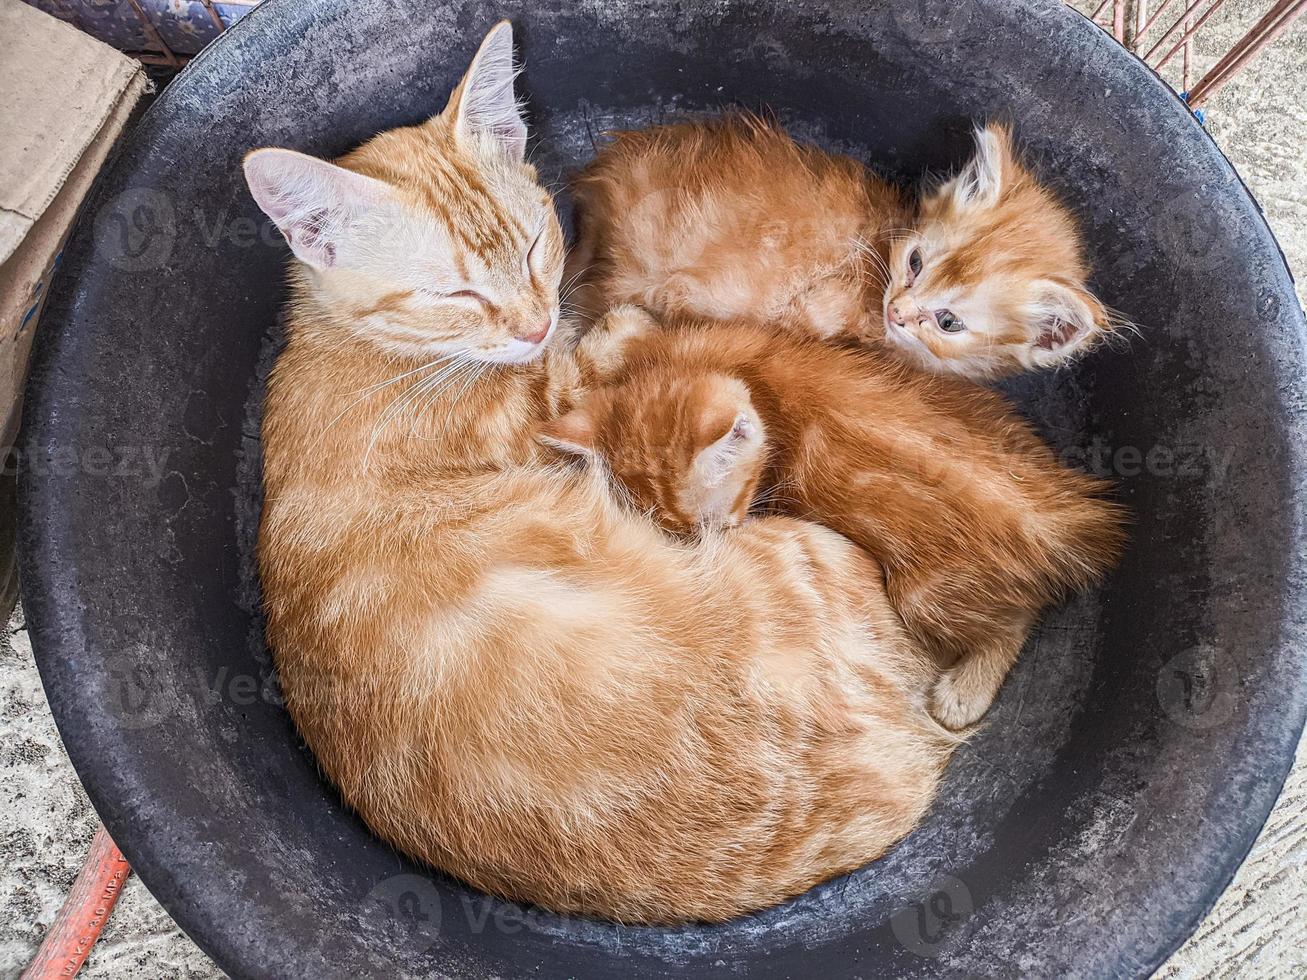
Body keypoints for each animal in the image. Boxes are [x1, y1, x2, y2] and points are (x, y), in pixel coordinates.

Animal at [247, 23, 961, 930]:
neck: (359, 349)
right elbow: (619, 343)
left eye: (530, 245)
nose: (533, 323)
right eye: (454, 293)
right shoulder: (553, 400)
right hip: (810, 555)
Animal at [535, 310, 1129, 731]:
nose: (720, 541)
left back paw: (964, 692)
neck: (744, 376)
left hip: (926, 594)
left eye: (719, 525)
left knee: (1016, 619)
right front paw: (620, 325)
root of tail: (1064, 516)